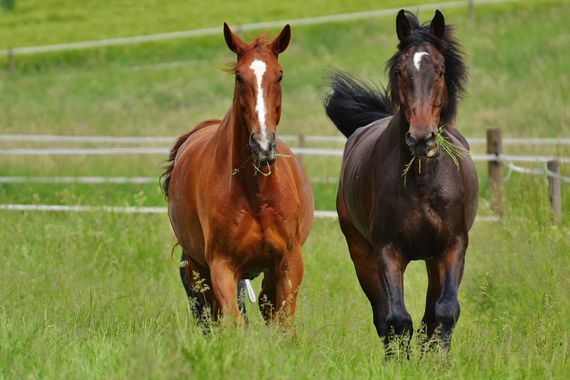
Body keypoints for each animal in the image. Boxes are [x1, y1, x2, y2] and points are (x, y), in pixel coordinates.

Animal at [160, 23, 312, 326]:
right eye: (239, 77)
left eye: (280, 75)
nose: (263, 144)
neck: (255, 192)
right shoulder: (222, 266)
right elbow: (233, 322)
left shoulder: (288, 263)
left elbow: (283, 323)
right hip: (199, 268)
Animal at [322, 8, 478, 348]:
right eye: (400, 71)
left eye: (441, 70)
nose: (421, 138)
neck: (423, 182)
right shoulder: (387, 251)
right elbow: (397, 320)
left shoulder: (453, 246)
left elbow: (444, 313)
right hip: (362, 254)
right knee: (384, 318)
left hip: (433, 260)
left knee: (430, 315)